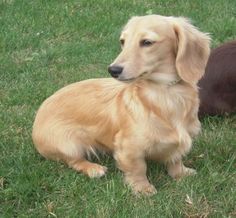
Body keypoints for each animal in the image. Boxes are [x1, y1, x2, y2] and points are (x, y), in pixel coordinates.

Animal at [31, 15, 210, 196]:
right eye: (123, 41)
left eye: (147, 42)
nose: (113, 70)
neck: (165, 94)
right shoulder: (128, 148)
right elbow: (138, 168)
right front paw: (142, 188)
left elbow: (175, 159)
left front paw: (180, 173)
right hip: (69, 145)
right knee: (74, 161)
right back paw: (93, 169)